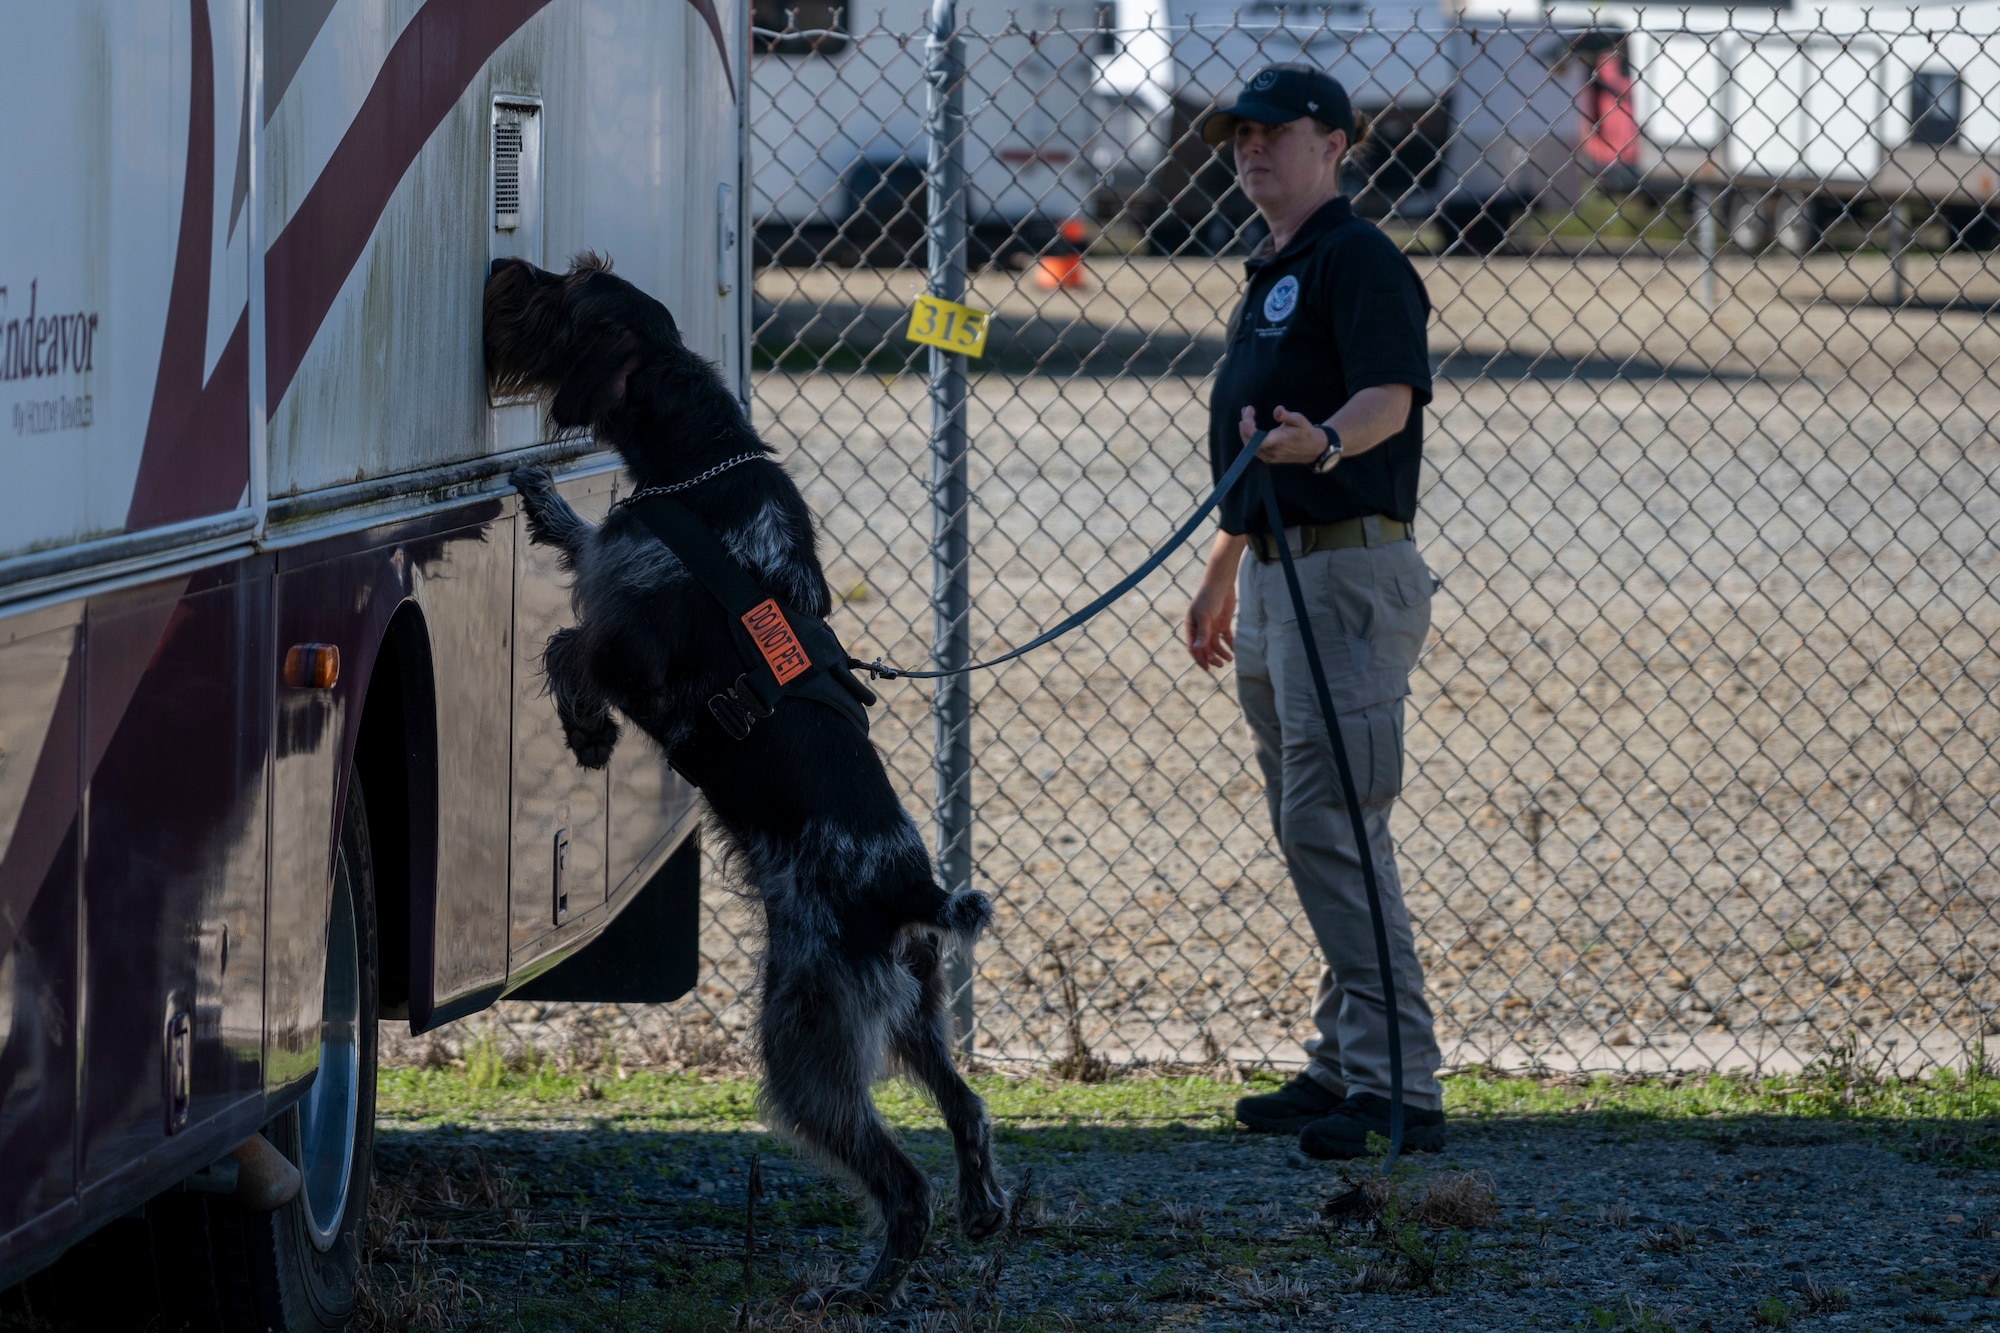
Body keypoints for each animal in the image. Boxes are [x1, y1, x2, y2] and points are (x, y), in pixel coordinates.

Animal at [482, 249, 1008, 1296]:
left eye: (567, 293)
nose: (510, 268)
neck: (700, 461)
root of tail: (912, 892)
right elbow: (582, 549)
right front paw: (547, 501)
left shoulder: (630, 648)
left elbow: (568, 645)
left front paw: (585, 734)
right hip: (917, 1017)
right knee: (968, 1111)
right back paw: (980, 1210)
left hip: (804, 1037)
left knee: (900, 1180)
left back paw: (866, 1286)